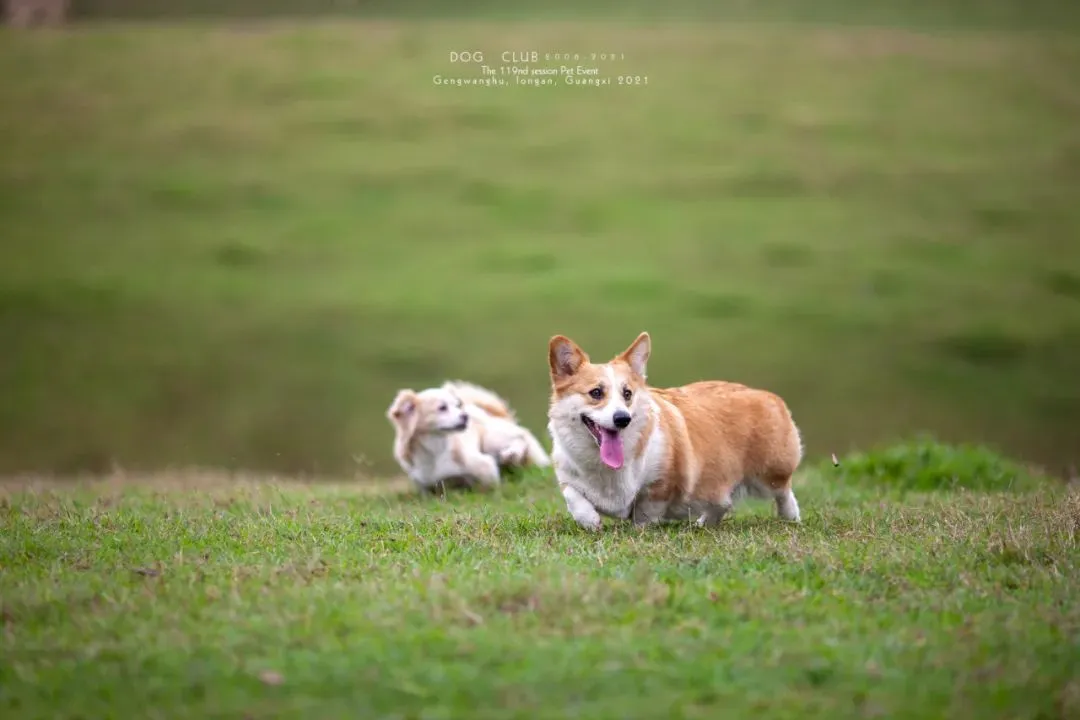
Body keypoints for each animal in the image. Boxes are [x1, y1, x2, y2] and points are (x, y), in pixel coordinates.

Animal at [387, 380, 551, 494]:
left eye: (457, 405)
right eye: (442, 408)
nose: (465, 416)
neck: (435, 451)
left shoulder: (484, 466)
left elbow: (489, 484)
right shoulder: (427, 485)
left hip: (491, 439)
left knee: (520, 439)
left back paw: (512, 454)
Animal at [546, 332, 803, 531]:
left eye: (627, 394)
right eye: (596, 393)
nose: (622, 419)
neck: (606, 468)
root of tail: (766, 394)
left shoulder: (660, 484)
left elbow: (645, 511)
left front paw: (639, 530)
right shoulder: (567, 475)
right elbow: (573, 497)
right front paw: (591, 522)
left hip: (771, 473)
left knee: (784, 492)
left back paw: (791, 518)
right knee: (722, 502)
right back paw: (704, 524)